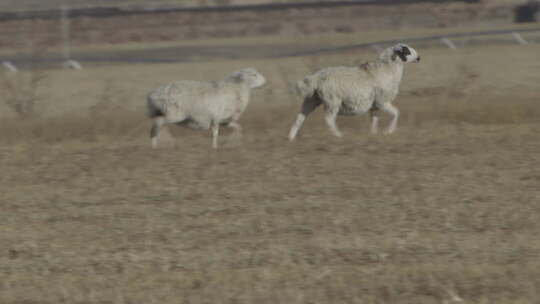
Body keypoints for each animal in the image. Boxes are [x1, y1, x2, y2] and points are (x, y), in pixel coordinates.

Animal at [288, 43, 420, 141]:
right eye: (406, 51)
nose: (419, 58)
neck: (387, 69)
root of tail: (317, 77)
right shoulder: (382, 101)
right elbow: (396, 113)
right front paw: (389, 131)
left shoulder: (375, 105)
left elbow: (374, 120)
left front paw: (373, 134)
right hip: (332, 101)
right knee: (329, 119)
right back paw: (339, 135)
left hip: (312, 99)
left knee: (300, 117)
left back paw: (291, 138)